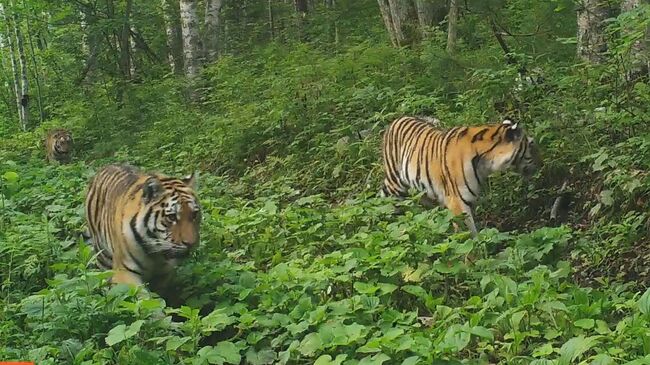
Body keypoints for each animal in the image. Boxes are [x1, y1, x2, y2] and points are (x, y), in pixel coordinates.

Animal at [83, 164, 200, 298]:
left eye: (194, 214)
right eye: (172, 217)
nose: (191, 244)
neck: (156, 254)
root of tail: (105, 167)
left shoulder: (165, 274)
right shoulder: (125, 273)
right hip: (103, 257)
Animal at [380, 116, 540, 236]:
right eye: (531, 145)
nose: (541, 163)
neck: (486, 163)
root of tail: (396, 119)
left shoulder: (469, 200)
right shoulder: (458, 203)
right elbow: (467, 236)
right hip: (395, 184)